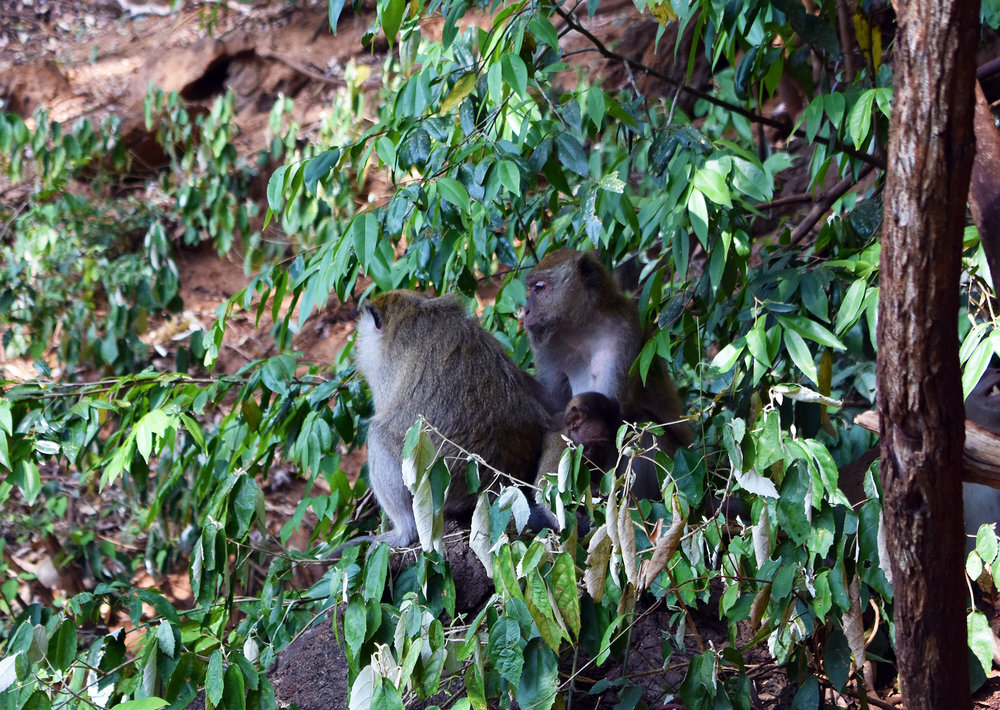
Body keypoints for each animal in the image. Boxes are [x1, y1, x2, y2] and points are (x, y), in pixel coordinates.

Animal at [523, 249, 693, 500]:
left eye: (539, 288)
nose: (525, 311)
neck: (581, 328)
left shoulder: (622, 330)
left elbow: (613, 411)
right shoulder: (547, 345)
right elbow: (556, 403)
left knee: (644, 428)